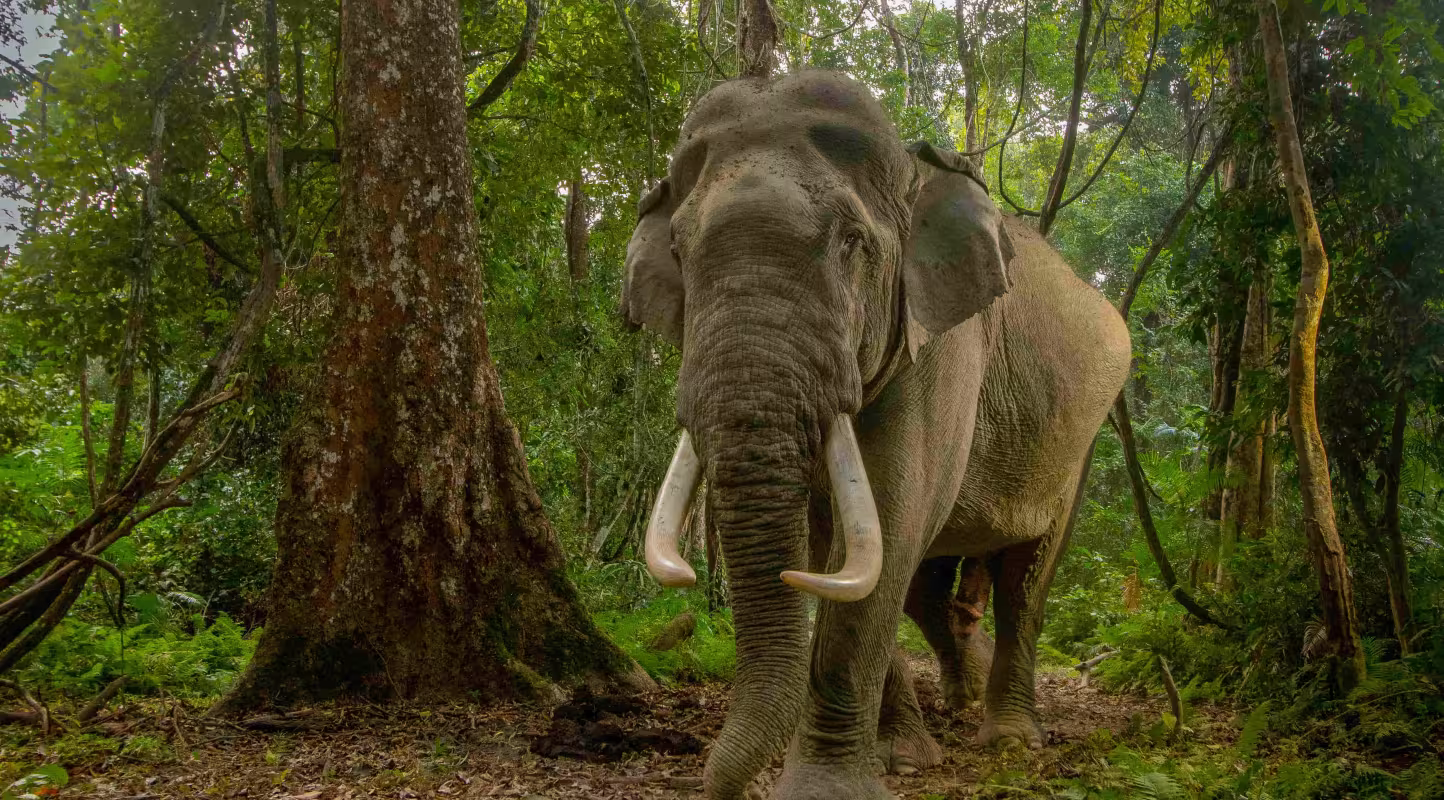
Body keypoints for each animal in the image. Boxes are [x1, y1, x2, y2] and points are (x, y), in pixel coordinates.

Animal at [620, 70, 1130, 800]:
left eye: (851, 243)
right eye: (680, 253)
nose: (723, 784)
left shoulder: (945, 345)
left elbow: (887, 517)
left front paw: (828, 785)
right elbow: (848, 545)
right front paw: (901, 758)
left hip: (1081, 438)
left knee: (1025, 577)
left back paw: (1007, 736)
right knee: (932, 581)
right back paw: (962, 695)